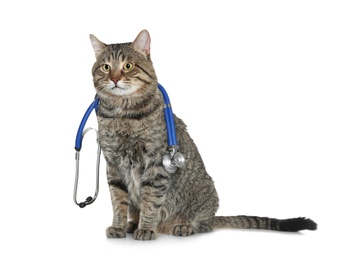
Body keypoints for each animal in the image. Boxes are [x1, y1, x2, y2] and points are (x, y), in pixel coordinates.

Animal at [88, 30, 316, 240]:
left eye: (128, 66)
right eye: (106, 67)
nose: (114, 78)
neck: (122, 113)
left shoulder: (155, 164)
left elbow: (151, 200)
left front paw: (146, 228)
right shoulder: (113, 165)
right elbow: (118, 201)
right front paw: (118, 226)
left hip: (206, 196)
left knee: (204, 225)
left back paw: (183, 226)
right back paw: (132, 224)